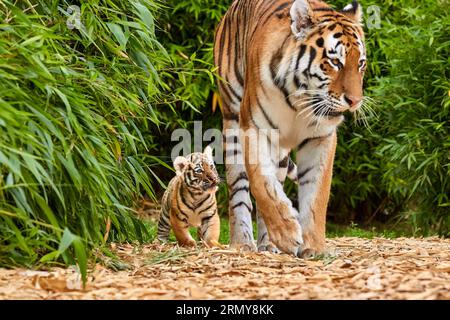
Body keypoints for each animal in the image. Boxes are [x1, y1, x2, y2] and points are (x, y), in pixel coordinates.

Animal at [214, 0, 366, 256]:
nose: (354, 101)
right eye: (335, 62)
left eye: (361, 64)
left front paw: (313, 247)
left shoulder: (321, 137)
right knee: (240, 190)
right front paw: (287, 233)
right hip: (232, 118)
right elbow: (262, 184)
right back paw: (242, 243)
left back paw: (268, 244)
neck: (299, 98)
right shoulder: (253, 128)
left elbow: (317, 194)